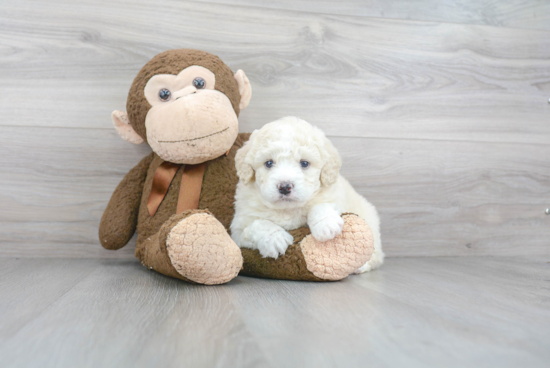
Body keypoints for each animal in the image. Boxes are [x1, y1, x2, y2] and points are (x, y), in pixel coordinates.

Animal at [232, 116, 384, 272]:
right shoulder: (237, 231)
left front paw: (326, 225)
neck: (288, 209)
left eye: (304, 163)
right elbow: (258, 224)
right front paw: (274, 238)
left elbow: (321, 206)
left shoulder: (335, 197)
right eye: (268, 163)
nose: (285, 187)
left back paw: (361, 265)